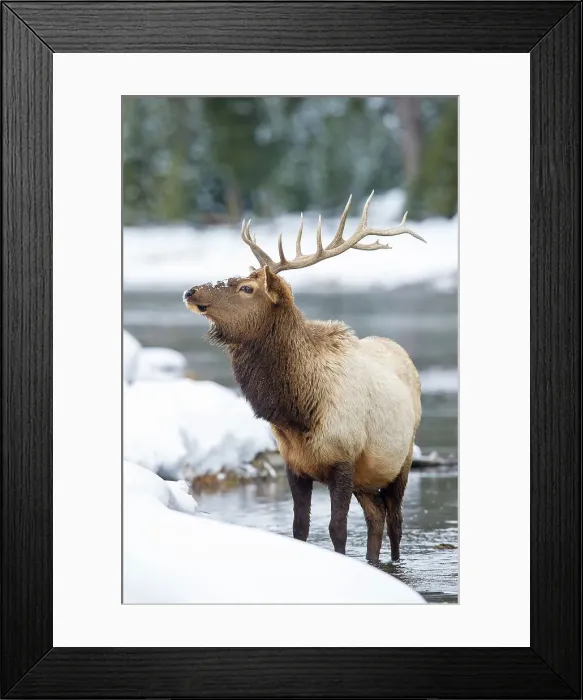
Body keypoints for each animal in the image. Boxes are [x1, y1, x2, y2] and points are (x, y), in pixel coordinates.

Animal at [183, 192, 425, 564]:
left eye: (246, 288)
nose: (191, 291)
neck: (298, 411)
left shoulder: (343, 459)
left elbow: (337, 530)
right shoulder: (294, 464)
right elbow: (300, 529)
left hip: (401, 459)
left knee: (395, 523)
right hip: (367, 479)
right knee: (376, 519)